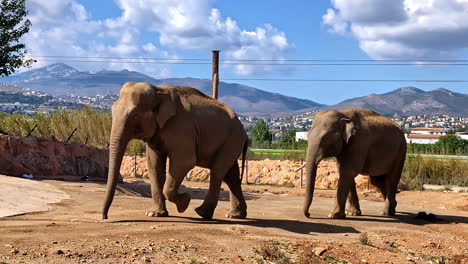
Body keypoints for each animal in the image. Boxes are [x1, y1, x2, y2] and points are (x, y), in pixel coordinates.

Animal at [102, 82, 249, 221]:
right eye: (112, 110)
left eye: (135, 115)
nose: (105, 217)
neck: (158, 90)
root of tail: (244, 131)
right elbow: (154, 164)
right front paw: (154, 214)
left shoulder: (181, 128)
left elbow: (184, 162)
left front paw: (185, 203)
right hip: (230, 142)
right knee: (231, 176)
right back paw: (234, 215)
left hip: (232, 140)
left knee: (217, 171)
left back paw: (202, 213)